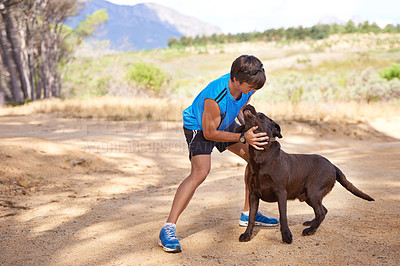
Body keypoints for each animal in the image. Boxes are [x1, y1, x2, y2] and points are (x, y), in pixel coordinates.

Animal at [236, 105, 374, 244]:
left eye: (262, 115)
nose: (248, 105)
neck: (260, 156)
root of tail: (332, 165)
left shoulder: (281, 192)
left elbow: (283, 216)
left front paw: (286, 235)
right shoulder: (253, 194)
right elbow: (251, 217)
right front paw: (247, 235)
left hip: (313, 193)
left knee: (321, 212)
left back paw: (310, 230)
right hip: (309, 196)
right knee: (323, 210)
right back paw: (311, 224)